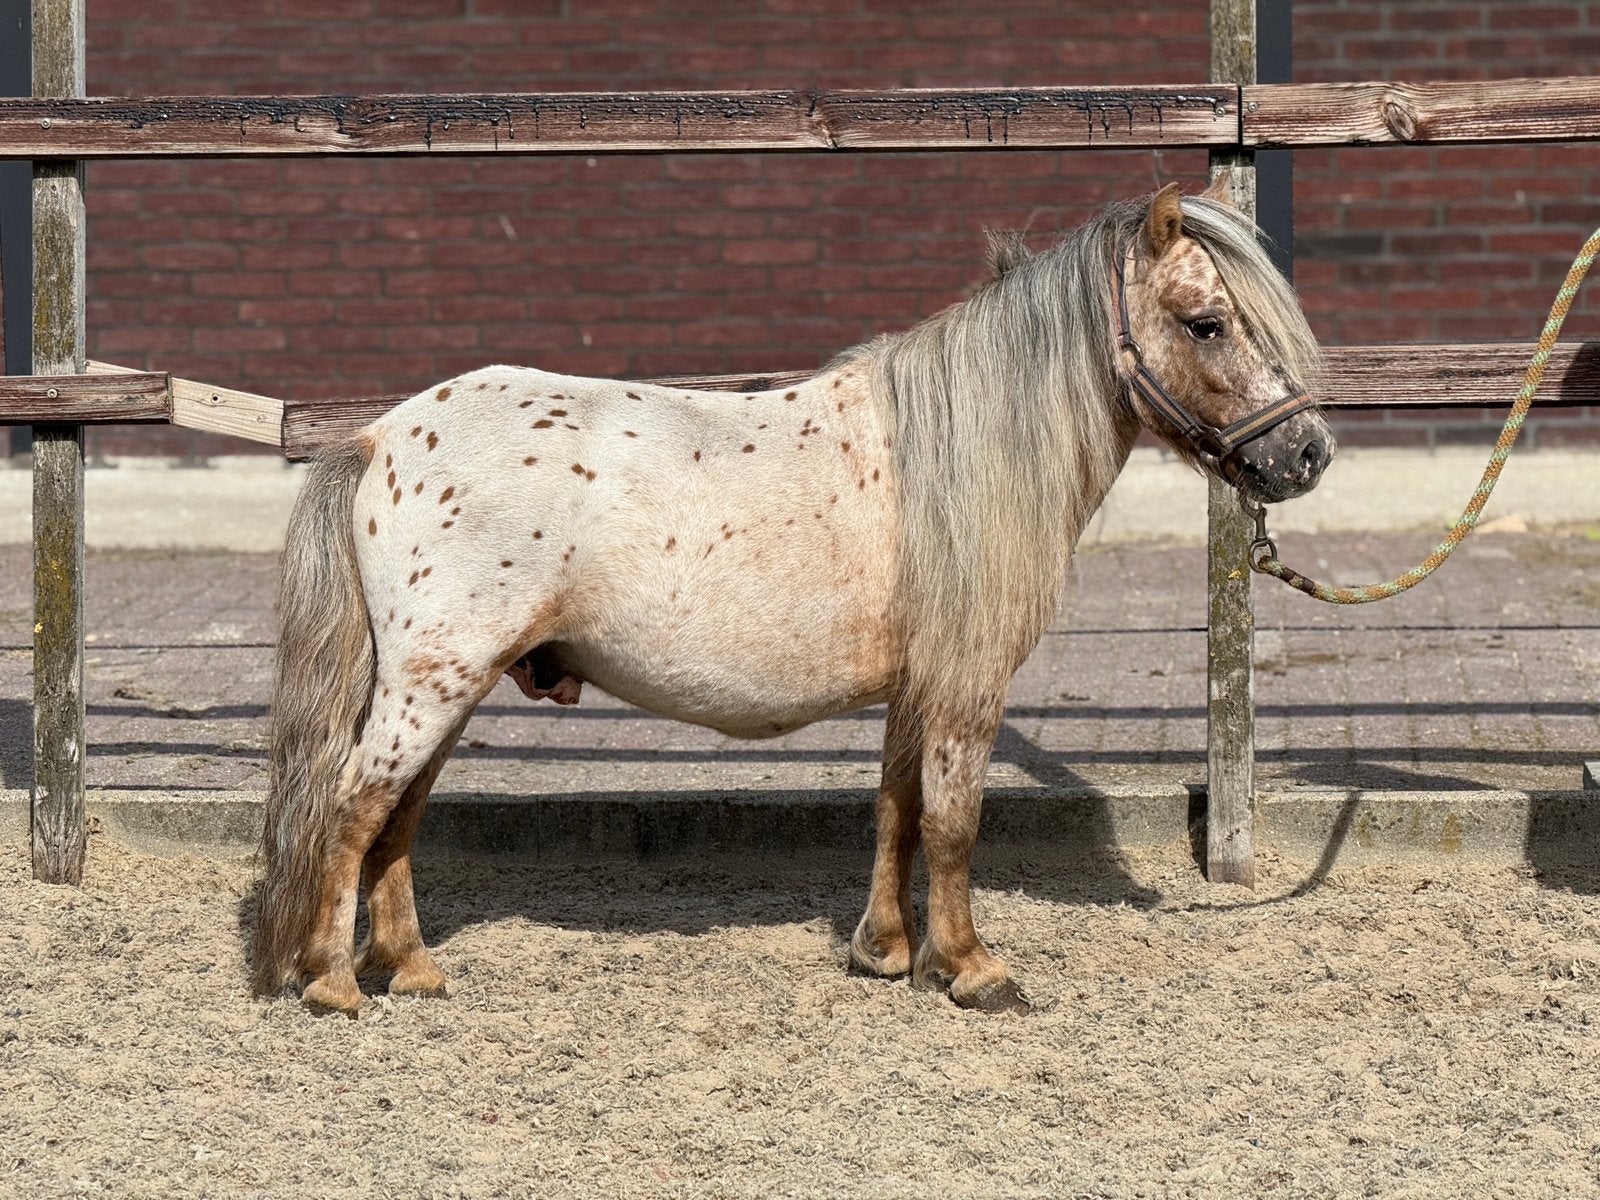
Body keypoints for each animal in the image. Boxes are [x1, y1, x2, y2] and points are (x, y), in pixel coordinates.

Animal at [252, 182, 1334, 1017]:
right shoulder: (967, 683)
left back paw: (411, 971)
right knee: (353, 806)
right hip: (432, 683)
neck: (958, 448)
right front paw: (973, 969)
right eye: (1205, 322)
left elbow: (897, 809)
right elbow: (952, 821)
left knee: (395, 816)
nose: (1307, 455)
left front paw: (889, 952)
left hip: (449, 685)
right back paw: (333, 985)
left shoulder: (915, 685)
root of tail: (379, 437)